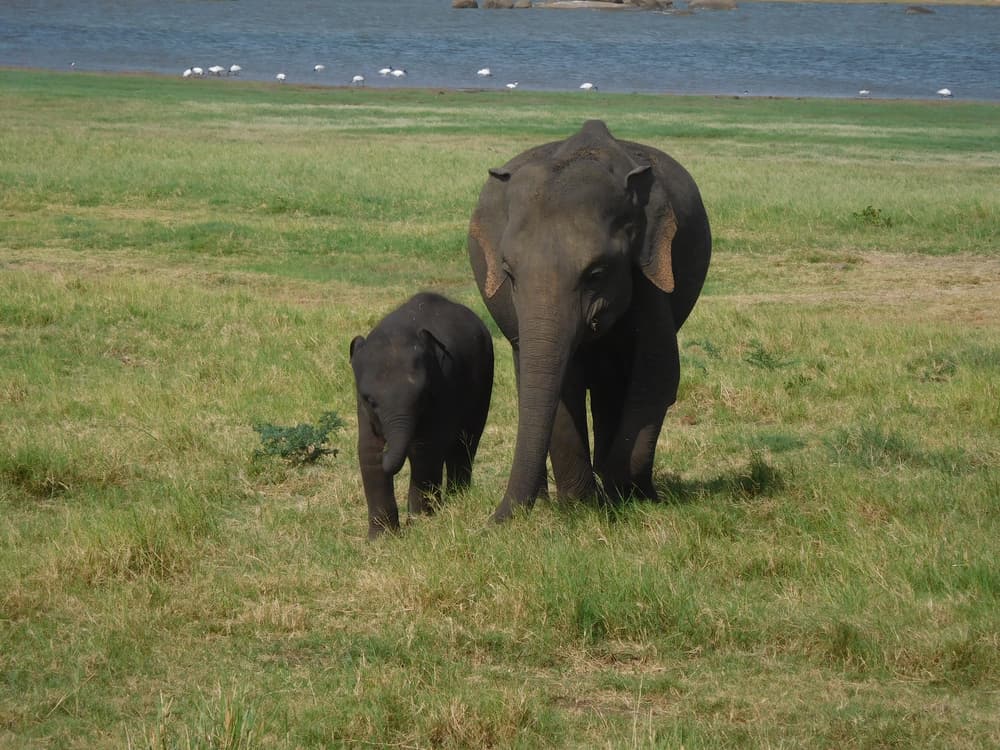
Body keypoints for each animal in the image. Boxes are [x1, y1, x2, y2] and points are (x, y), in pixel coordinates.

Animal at [349, 292, 494, 539]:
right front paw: (381, 538)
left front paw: (421, 525)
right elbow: (367, 451)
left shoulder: (444, 384)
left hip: (484, 382)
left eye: (423, 396)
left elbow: (426, 448)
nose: (388, 450)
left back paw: (457, 499)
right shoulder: (362, 409)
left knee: (465, 442)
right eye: (370, 400)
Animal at [467, 119, 711, 522]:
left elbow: (658, 373)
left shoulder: (650, 271)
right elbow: (560, 385)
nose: (491, 523)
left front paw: (617, 494)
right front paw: (581, 506)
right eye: (509, 274)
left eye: (596, 274)